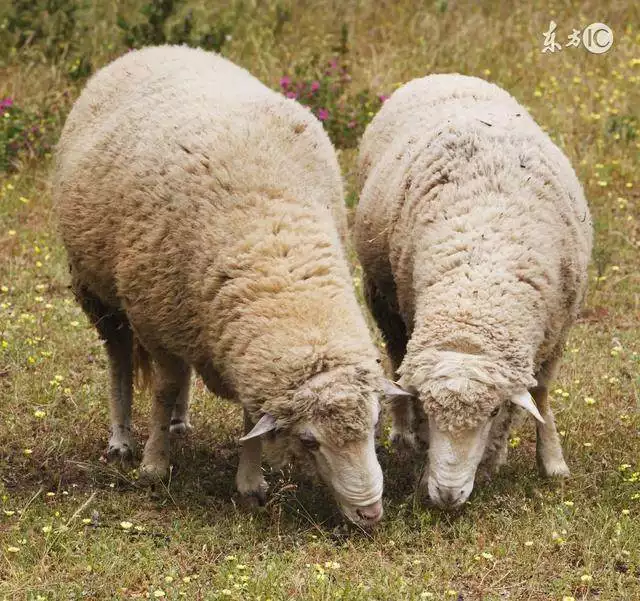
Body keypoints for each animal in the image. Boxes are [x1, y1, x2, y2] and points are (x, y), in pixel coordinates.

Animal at [52, 45, 384, 524]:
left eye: (375, 425)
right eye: (309, 441)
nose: (371, 514)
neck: (275, 246)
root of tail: (161, 47)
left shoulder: (236, 344)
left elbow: (248, 419)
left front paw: (250, 482)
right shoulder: (153, 321)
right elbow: (163, 389)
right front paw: (154, 464)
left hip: (183, 312)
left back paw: (180, 423)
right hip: (100, 291)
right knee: (118, 358)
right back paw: (122, 438)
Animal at [352, 74, 592, 506]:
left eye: (493, 412)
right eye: (431, 412)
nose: (447, 496)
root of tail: (443, 74)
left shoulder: (556, 333)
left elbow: (541, 396)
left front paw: (548, 461)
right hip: (382, 297)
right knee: (395, 356)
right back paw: (402, 433)